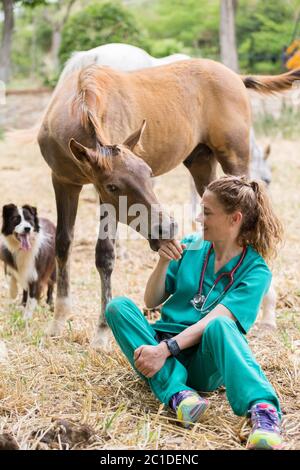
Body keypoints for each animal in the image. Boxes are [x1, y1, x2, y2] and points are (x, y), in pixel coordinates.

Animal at [37, 58, 300, 348]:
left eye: (149, 173)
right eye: (113, 186)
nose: (168, 228)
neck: (78, 107)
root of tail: (235, 77)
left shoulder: (101, 198)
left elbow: (104, 254)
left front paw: (102, 333)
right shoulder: (64, 182)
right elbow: (63, 243)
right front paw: (58, 321)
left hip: (235, 157)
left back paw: (268, 315)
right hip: (200, 162)